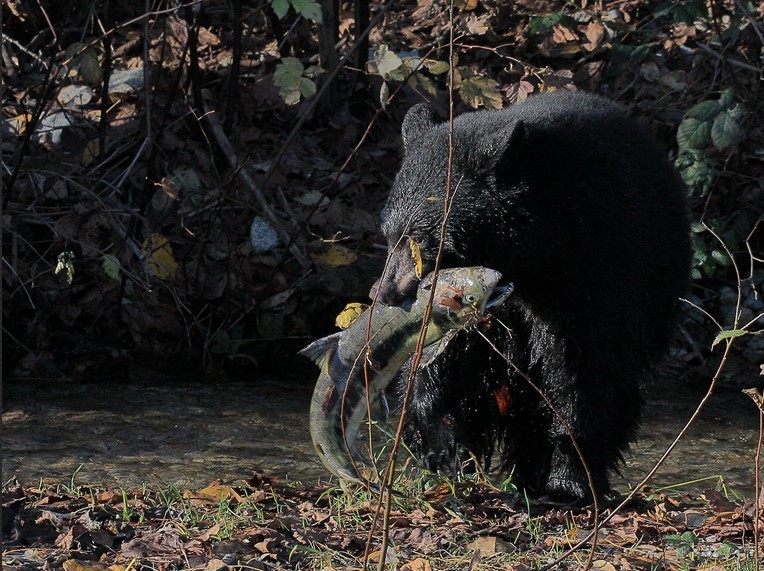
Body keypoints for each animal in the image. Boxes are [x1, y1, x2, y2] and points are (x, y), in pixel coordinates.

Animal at [374, 89, 696, 500]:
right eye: (390, 234)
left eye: (423, 240)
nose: (384, 294)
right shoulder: (475, 305)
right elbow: (441, 362)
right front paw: (439, 447)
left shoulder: (595, 273)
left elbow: (583, 372)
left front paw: (568, 481)